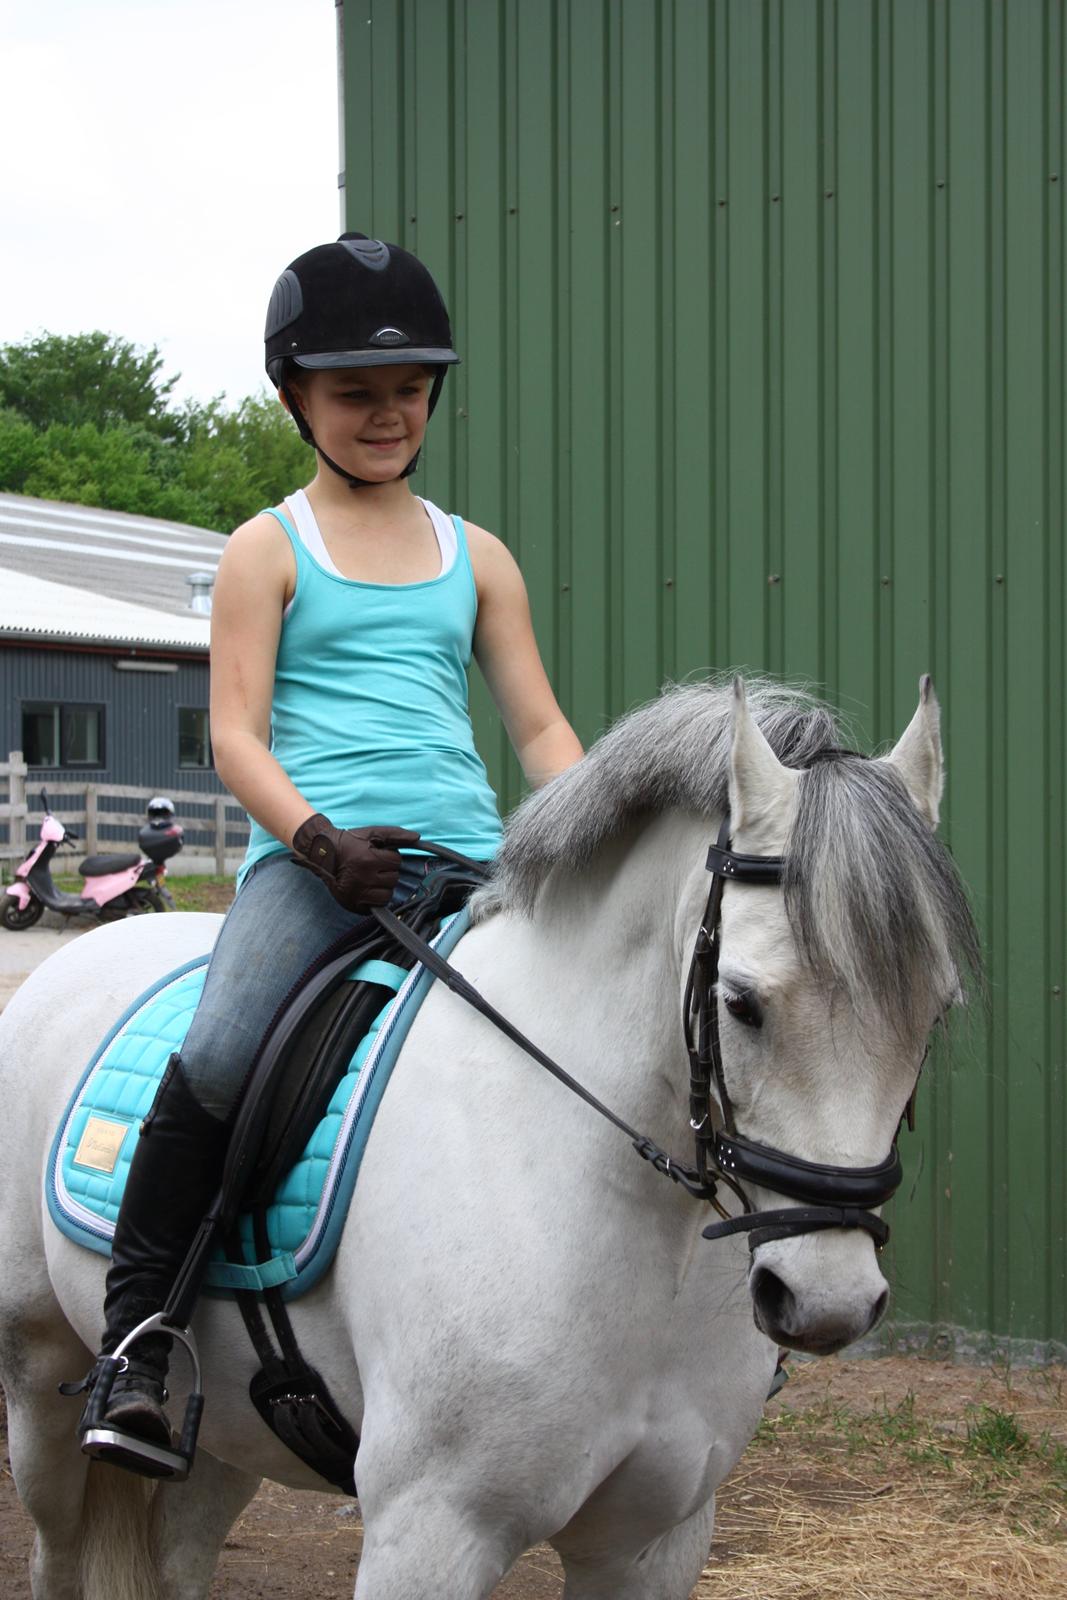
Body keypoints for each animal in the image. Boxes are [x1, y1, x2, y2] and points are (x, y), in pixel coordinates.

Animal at [0, 676, 979, 1600]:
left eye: (934, 1014)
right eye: (741, 1003)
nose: (827, 1302)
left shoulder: (651, 1545)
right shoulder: (431, 1530)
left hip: (227, 1438)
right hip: (42, 1383)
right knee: (57, 1553)